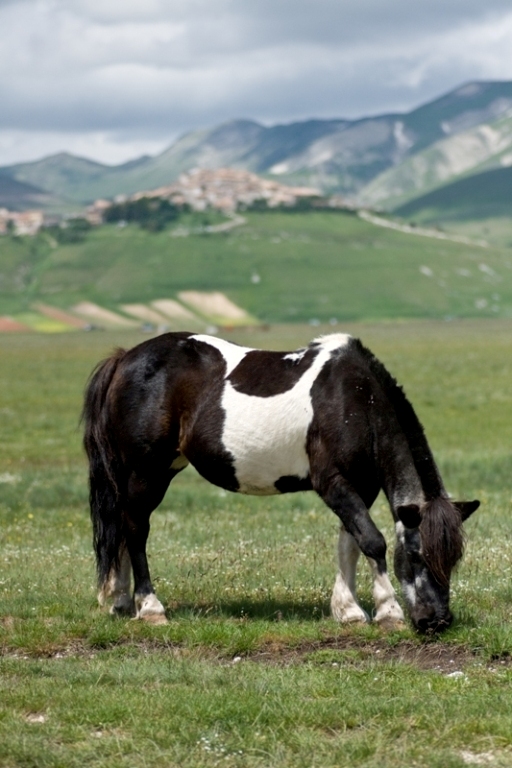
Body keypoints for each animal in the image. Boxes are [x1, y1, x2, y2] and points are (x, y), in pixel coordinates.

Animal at [83, 331, 479, 633]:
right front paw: (388, 612)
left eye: (454, 558)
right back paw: (150, 606)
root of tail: (124, 358)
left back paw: (120, 600)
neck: (355, 399)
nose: (437, 621)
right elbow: (372, 541)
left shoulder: (361, 488)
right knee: (136, 529)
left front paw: (348, 610)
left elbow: (349, 543)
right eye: (415, 554)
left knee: (122, 527)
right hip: (145, 471)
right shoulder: (333, 484)